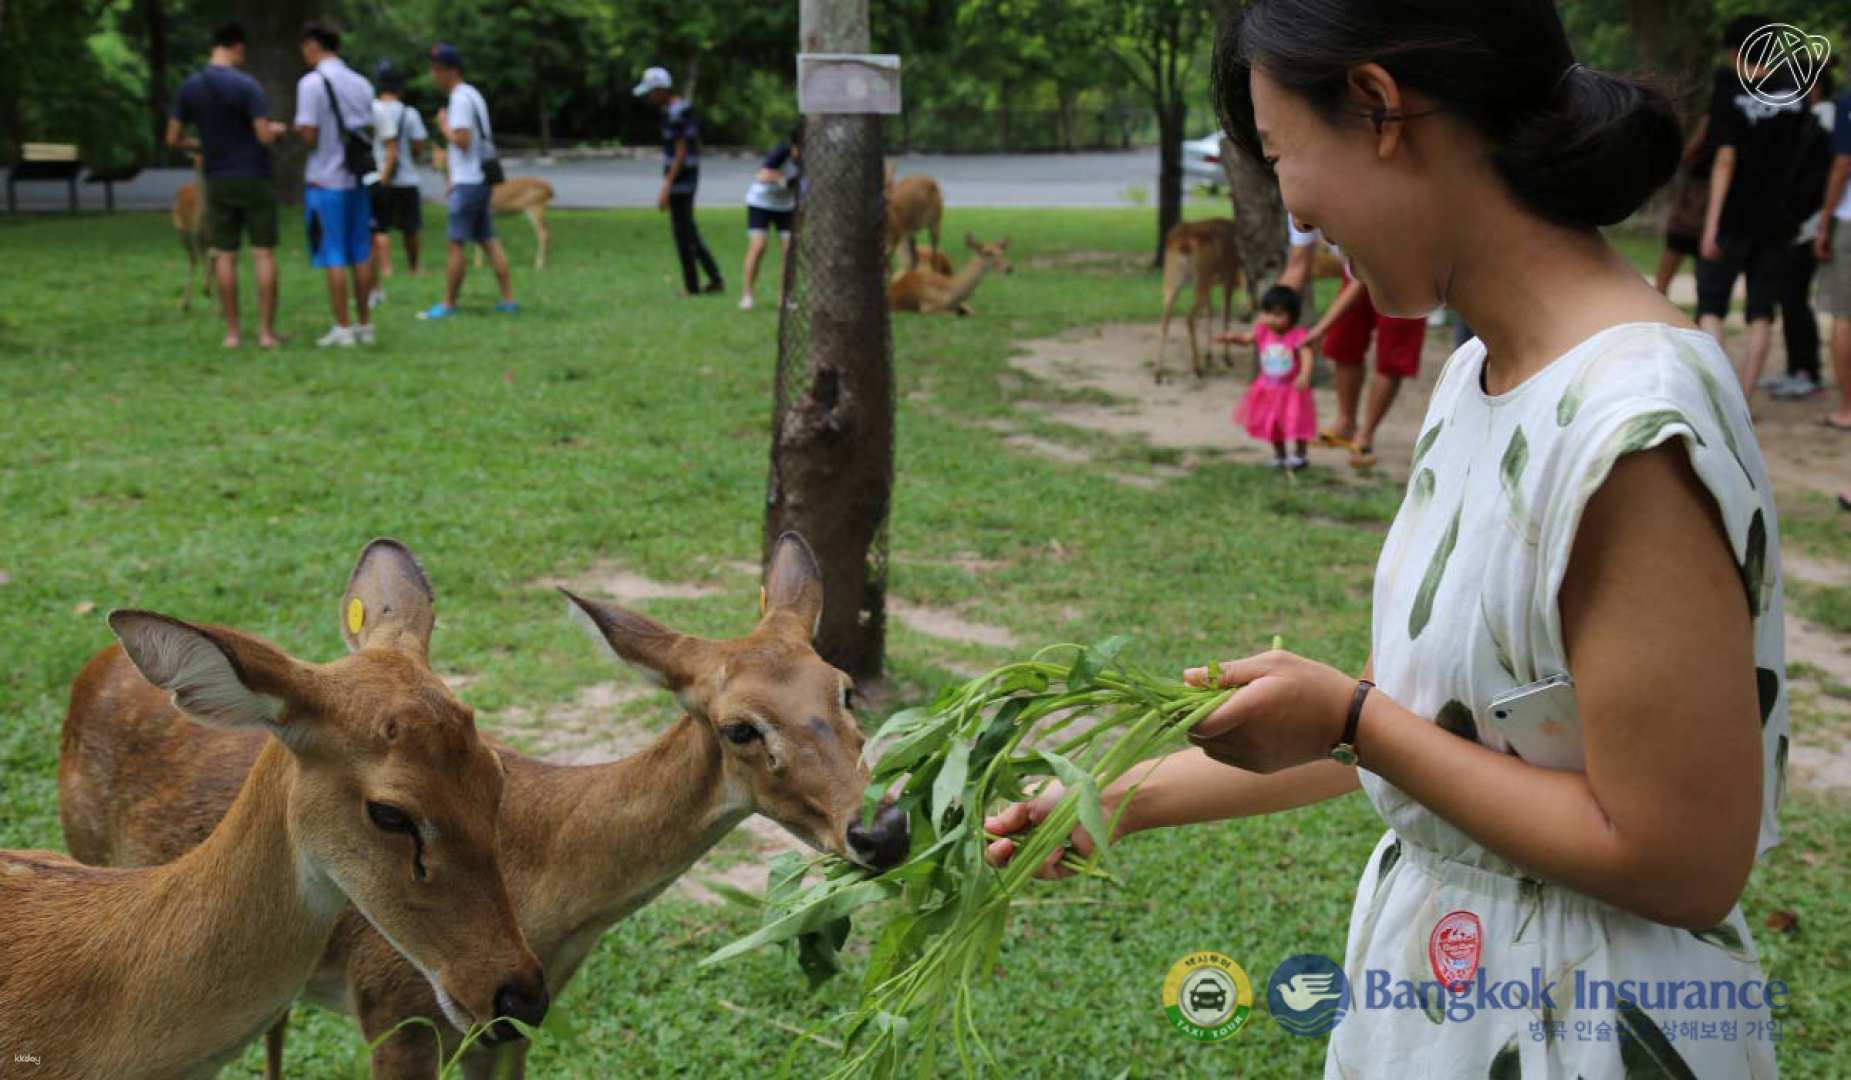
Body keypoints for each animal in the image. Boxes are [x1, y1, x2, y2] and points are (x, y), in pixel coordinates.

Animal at [1147, 216, 1251, 385]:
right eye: (1249, 290)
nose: (1245, 317)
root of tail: (1183, 244)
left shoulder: (1212, 283)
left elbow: (1210, 313)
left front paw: (1209, 355)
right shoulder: (1227, 275)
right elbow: (1225, 315)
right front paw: (1226, 358)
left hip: (1171, 280)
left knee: (1165, 318)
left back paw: (1158, 373)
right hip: (1201, 276)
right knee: (1189, 317)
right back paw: (1197, 369)